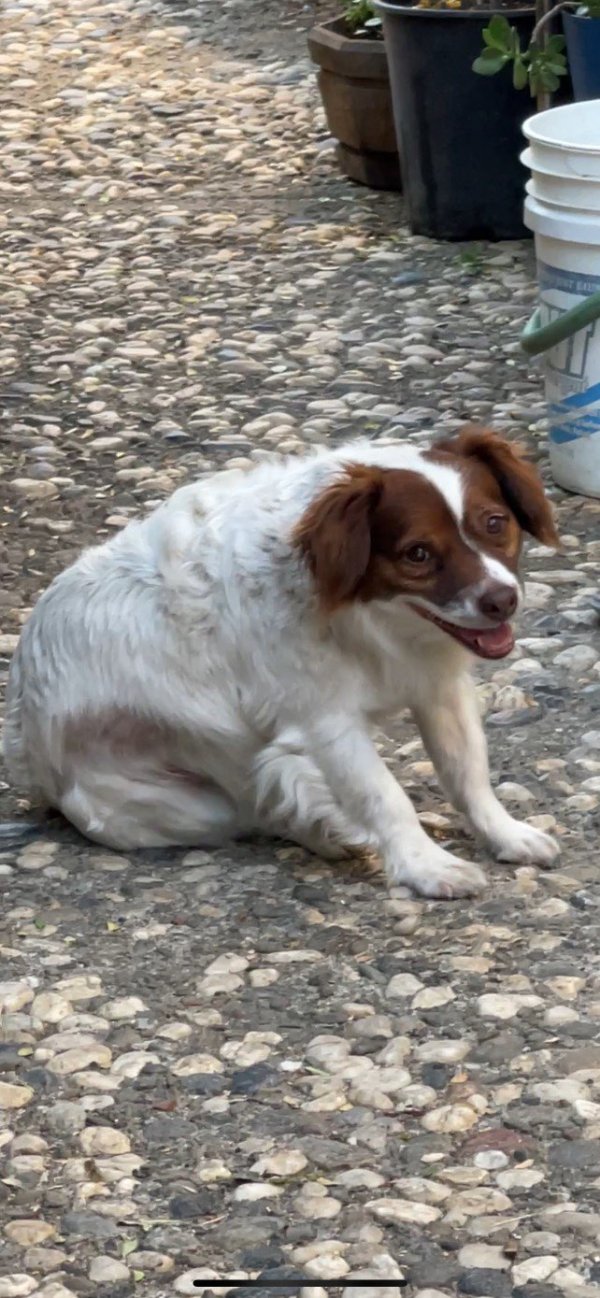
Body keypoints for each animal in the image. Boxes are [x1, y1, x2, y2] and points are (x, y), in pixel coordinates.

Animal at [2, 430, 561, 898]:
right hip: (181, 806)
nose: (502, 601)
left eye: (496, 523)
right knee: (260, 810)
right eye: (417, 554)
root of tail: (28, 751)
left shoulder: (439, 688)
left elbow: (468, 773)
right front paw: (426, 865)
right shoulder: (326, 723)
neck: (370, 618)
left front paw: (506, 833)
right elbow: (385, 797)